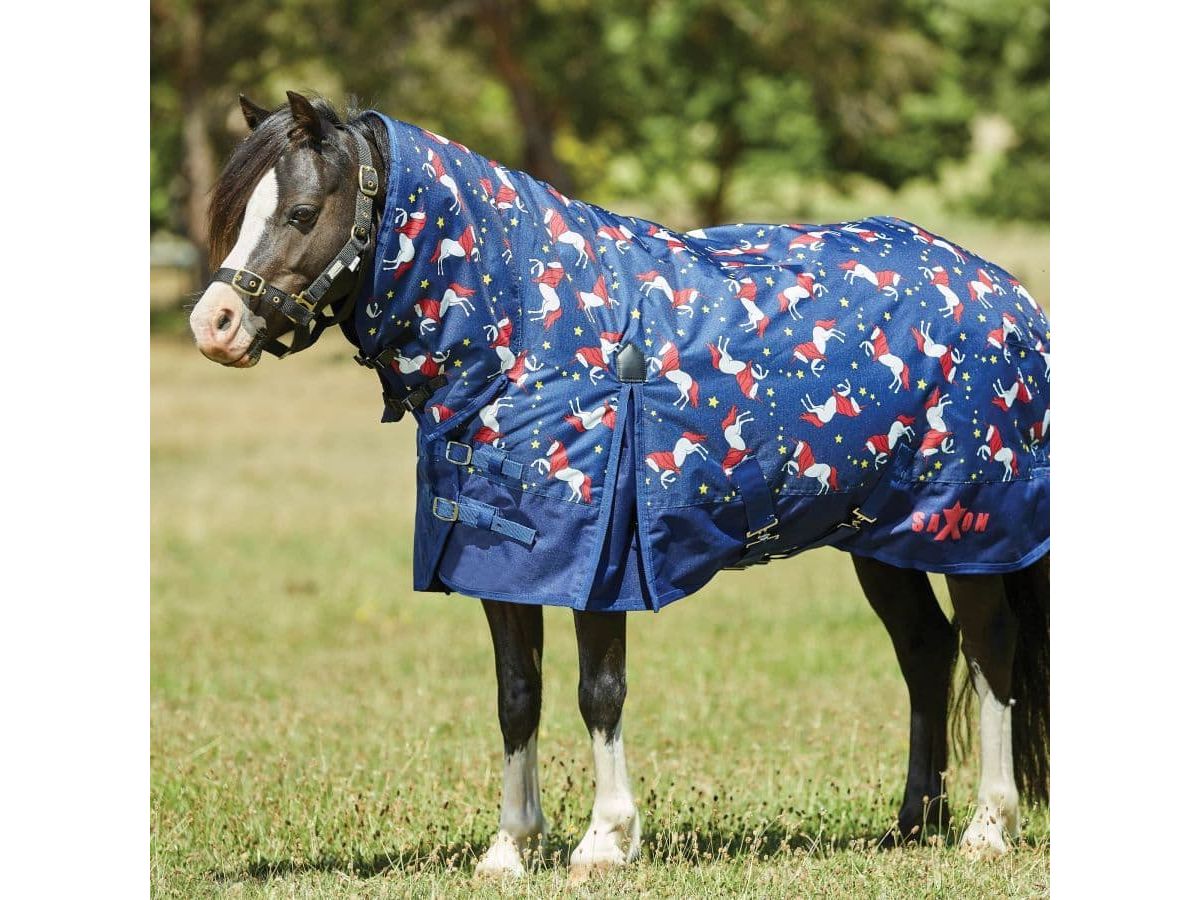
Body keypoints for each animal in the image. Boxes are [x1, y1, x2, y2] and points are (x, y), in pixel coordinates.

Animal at [189, 92, 1049, 875]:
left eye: (301, 212)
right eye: (236, 212)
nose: (214, 324)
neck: (527, 332)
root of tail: (1009, 296)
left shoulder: (599, 565)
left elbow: (598, 690)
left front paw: (605, 840)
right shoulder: (503, 563)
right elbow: (517, 695)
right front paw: (510, 847)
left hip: (971, 531)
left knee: (990, 650)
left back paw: (987, 828)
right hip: (883, 538)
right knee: (926, 650)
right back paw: (913, 823)